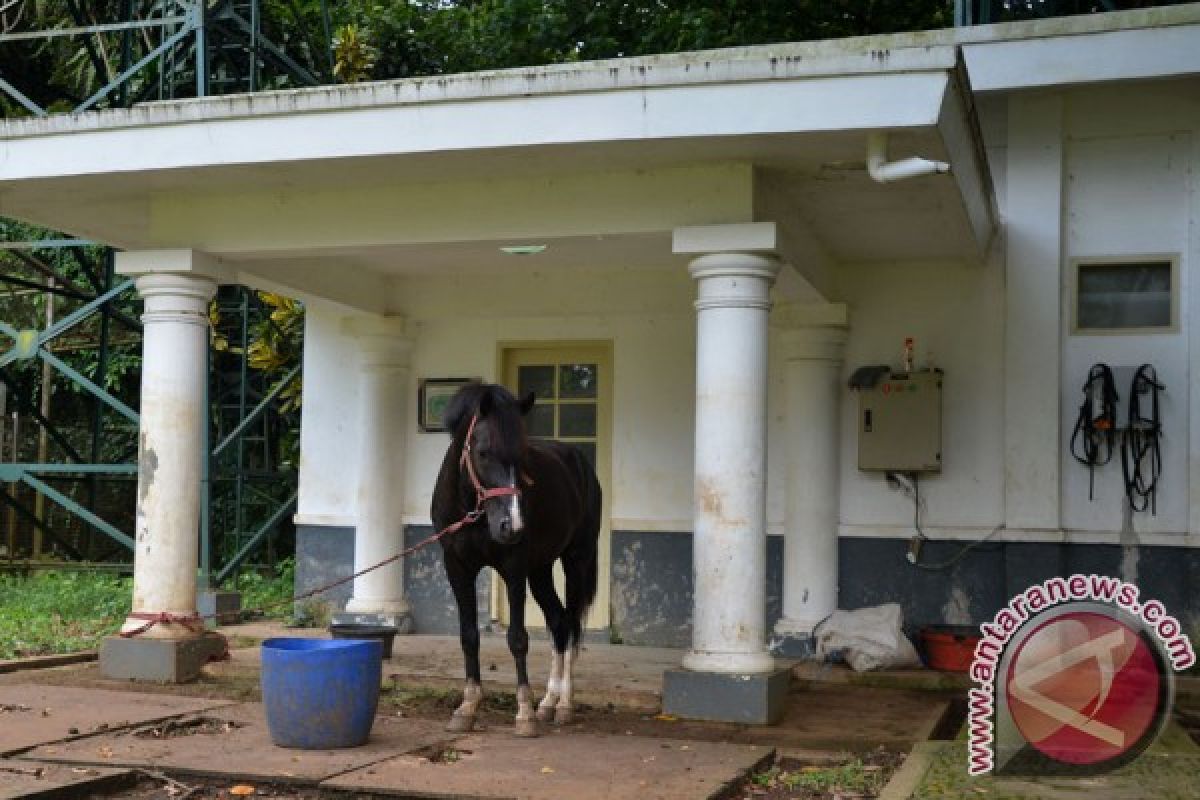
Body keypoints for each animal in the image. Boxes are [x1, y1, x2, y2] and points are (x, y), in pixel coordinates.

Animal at [429, 381, 600, 738]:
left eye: (522, 457)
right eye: (482, 452)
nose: (513, 525)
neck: (474, 511)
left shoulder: (514, 568)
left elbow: (518, 639)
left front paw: (523, 713)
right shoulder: (457, 568)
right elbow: (469, 637)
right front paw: (467, 707)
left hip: (576, 560)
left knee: (572, 623)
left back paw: (564, 705)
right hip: (541, 569)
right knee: (559, 621)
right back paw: (548, 702)